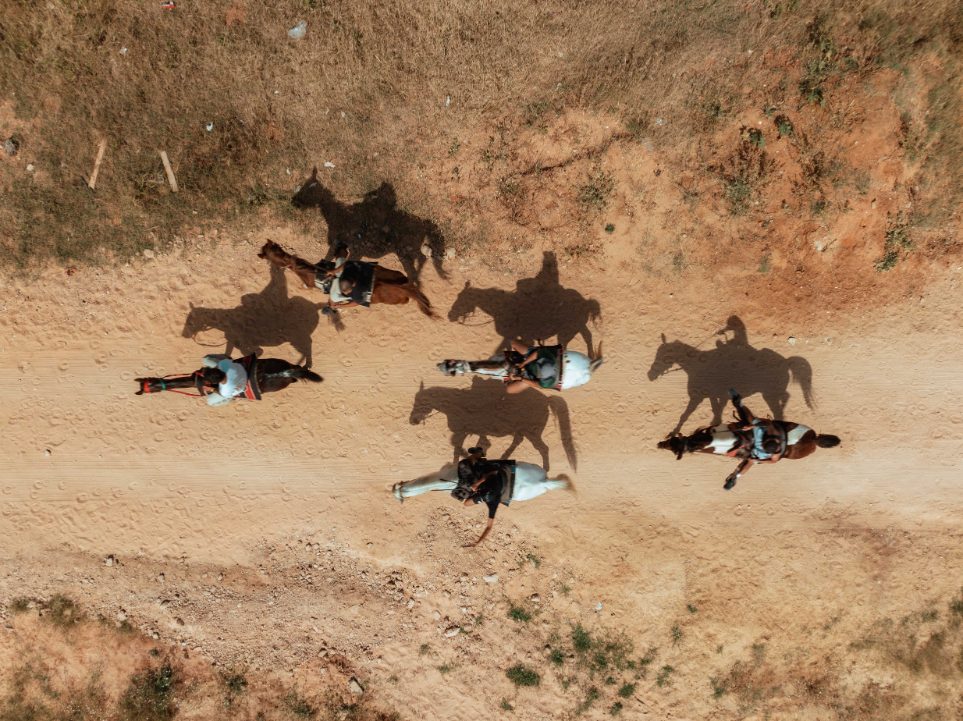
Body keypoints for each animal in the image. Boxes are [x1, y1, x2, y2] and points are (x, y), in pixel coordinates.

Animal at [409, 378, 577, 469]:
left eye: (421, 402)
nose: (412, 421)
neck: (458, 405)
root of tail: (547, 400)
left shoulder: (464, 431)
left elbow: (457, 448)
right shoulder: (471, 432)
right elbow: (465, 447)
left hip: (532, 432)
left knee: (543, 448)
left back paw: (545, 470)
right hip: (522, 430)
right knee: (517, 441)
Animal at [647, 332, 813, 433]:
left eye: (665, 357)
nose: (650, 375)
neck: (697, 366)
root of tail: (786, 361)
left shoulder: (698, 397)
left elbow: (686, 414)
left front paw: (673, 433)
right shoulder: (712, 396)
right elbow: (715, 413)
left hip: (769, 394)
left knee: (779, 407)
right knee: (785, 397)